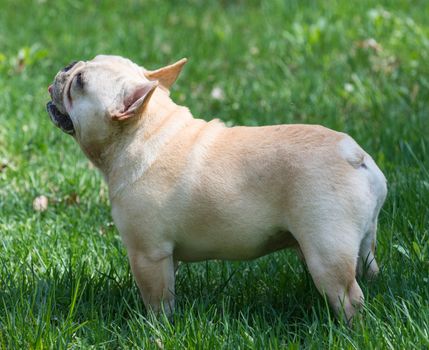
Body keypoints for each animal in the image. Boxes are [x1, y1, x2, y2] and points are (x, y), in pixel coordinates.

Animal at [46, 55, 388, 322]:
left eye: (79, 83)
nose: (68, 65)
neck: (143, 133)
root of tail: (353, 154)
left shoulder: (148, 254)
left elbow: (157, 299)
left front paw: (155, 328)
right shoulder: (166, 256)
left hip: (325, 252)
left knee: (349, 296)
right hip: (361, 243)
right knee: (368, 271)